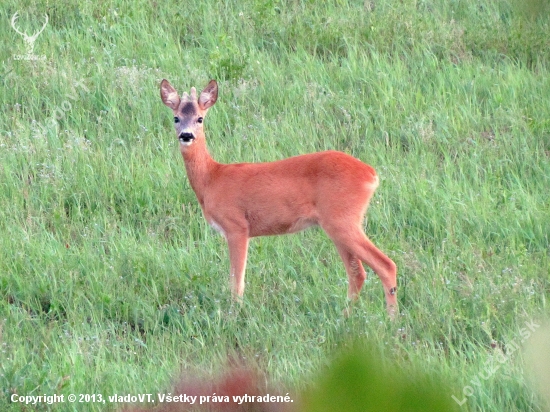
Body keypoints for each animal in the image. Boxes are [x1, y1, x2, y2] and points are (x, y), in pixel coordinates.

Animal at [162, 80, 398, 318]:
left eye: (200, 118)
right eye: (176, 118)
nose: (186, 135)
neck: (212, 179)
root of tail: (371, 174)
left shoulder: (237, 226)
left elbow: (237, 281)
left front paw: (235, 314)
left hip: (342, 218)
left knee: (385, 265)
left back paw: (391, 319)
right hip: (337, 223)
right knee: (357, 272)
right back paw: (346, 315)